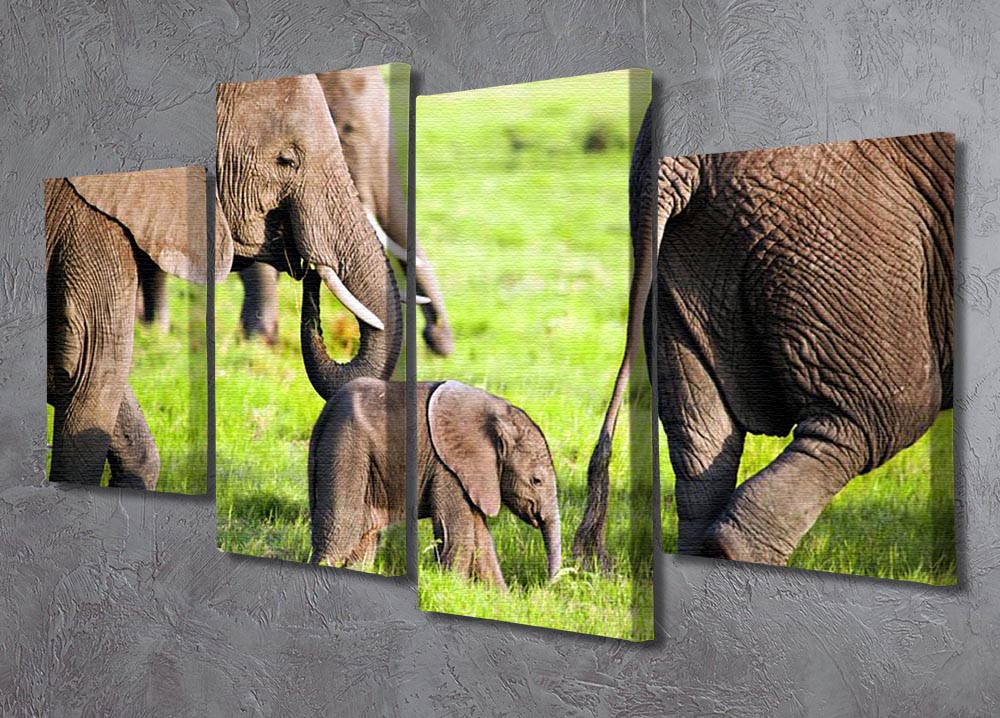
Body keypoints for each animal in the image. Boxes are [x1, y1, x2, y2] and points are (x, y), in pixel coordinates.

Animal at [307, 375, 561, 590]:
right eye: (536, 481)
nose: (546, 586)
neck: (499, 414)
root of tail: (327, 410)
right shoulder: (447, 467)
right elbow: (458, 532)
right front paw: (456, 588)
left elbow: (480, 536)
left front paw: (500, 601)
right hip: (346, 448)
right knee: (342, 530)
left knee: (365, 536)